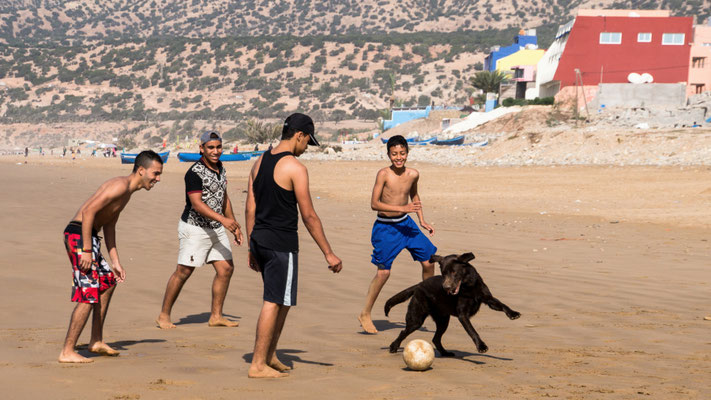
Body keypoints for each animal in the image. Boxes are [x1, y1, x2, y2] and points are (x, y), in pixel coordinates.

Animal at [386, 253, 520, 356]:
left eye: (454, 272)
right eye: (443, 273)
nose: (446, 287)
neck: (469, 287)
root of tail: (419, 285)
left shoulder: (488, 299)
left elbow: (502, 304)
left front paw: (513, 313)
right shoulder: (463, 315)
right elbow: (472, 331)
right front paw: (481, 346)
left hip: (443, 320)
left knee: (436, 339)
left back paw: (445, 353)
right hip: (416, 319)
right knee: (403, 332)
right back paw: (393, 347)